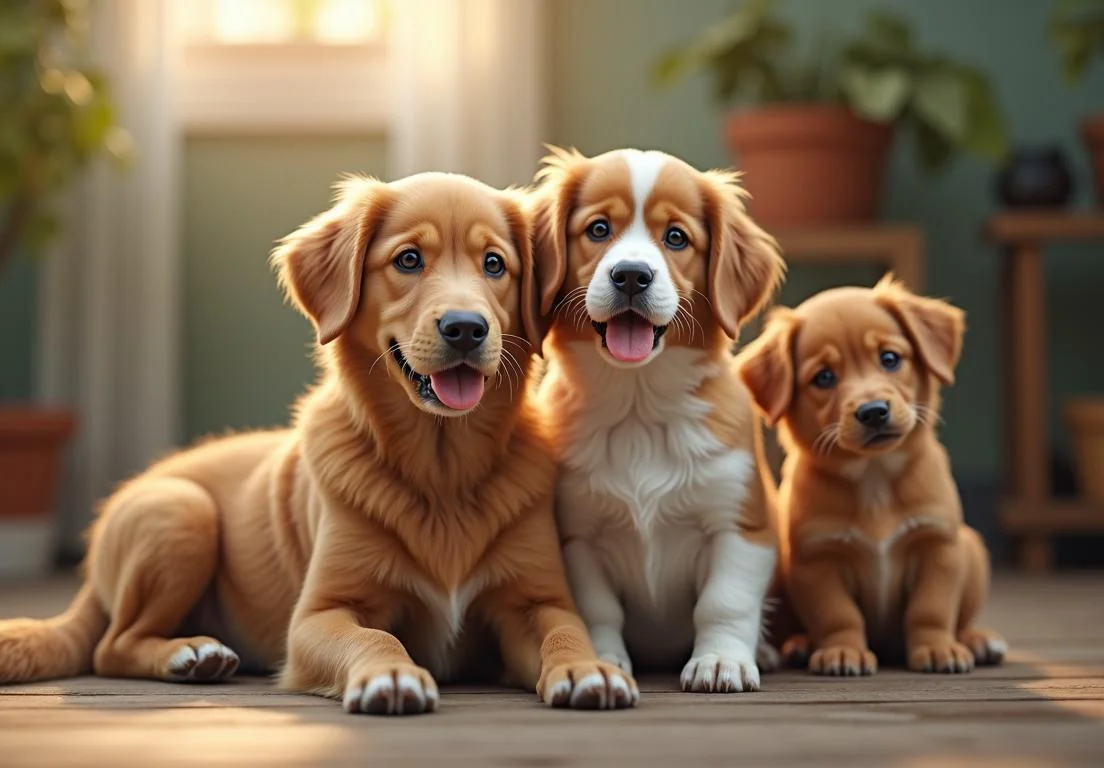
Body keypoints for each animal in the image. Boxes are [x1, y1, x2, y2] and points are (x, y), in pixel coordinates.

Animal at [0, 171, 640, 710]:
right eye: (409, 259)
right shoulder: (319, 614)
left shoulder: (537, 600)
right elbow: (376, 638)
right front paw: (392, 675)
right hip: (180, 512)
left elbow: (566, 630)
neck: (442, 469)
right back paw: (191, 651)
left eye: (494, 264)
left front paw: (588, 668)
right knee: (111, 644)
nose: (465, 328)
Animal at [529, 146, 790, 692]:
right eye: (599, 229)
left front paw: (721, 660)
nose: (631, 275)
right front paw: (604, 660)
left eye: (676, 237)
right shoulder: (578, 536)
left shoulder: (740, 527)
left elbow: (724, 603)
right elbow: (599, 609)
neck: (638, 407)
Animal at [737, 276, 1006, 679]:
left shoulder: (938, 545)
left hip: (970, 548)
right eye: (824, 377)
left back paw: (977, 639)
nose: (874, 411)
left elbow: (931, 609)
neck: (874, 477)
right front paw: (843, 651)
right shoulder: (818, 560)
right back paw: (801, 645)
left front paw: (937, 647)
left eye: (890, 358)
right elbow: (838, 615)